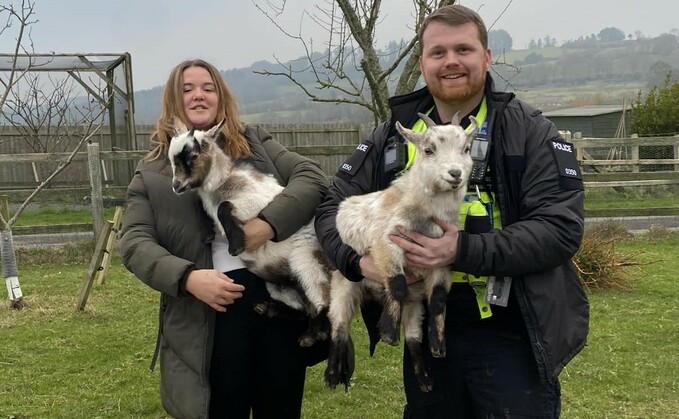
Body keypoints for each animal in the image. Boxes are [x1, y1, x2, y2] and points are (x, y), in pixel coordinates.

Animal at [167, 122, 332, 348]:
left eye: (192, 155)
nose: (176, 185)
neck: (222, 183)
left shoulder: (256, 204)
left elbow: (223, 208)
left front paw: (235, 246)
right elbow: (199, 203)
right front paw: (208, 234)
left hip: (308, 261)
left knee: (323, 302)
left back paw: (311, 335)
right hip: (278, 284)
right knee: (302, 309)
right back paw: (268, 309)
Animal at [326, 113, 478, 392]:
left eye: (466, 149)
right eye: (428, 150)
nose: (455, 174)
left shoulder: (442, 260)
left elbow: (438, 299)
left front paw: (438, 345)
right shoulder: (387, 243)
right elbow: (396, 283)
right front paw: (388, 332)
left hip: (414, 304)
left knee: (414, 338)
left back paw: (425, 378)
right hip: (343, 284)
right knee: (339, 326)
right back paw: (332, 375)